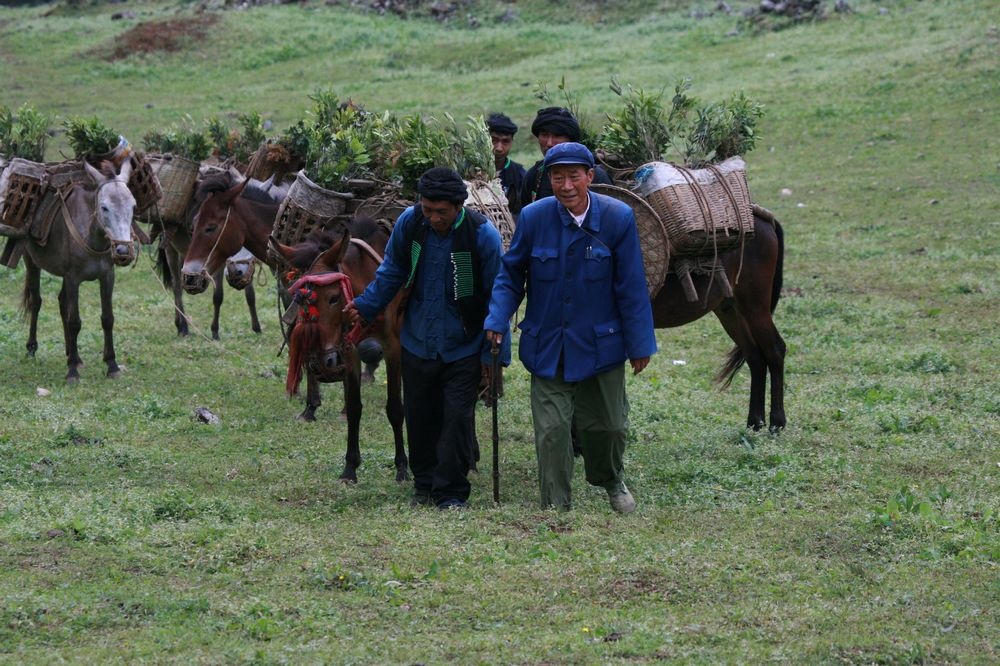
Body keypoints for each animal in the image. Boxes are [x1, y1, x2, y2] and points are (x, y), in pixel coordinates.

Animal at [270, 223, 406, 482]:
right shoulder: (349, 349)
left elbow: (395, 407)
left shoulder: (393, 346)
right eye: (299, 298)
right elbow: (353, 408)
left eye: (333, 298)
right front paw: (350, 468)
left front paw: (403, 468)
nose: (322, 365)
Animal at [652, 213, 784, 430]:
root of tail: (764, 218)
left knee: (775, 350)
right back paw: (755, 423)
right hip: (730, 311)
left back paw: (777, 423)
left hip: (755, 307)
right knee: (755, 356)